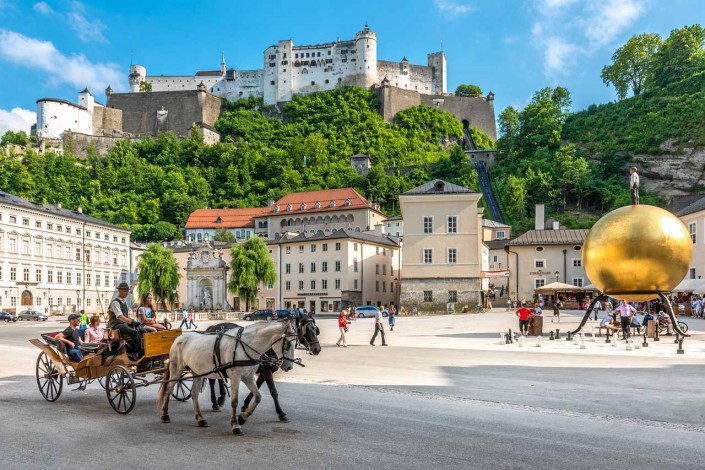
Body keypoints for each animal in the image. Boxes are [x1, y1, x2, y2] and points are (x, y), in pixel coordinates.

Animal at [157, 318, 296, 436]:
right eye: (288, 344)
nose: (289, 367)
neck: (245, 345)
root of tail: (178, 338)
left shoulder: (248, 376)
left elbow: (258, 397)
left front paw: (242, 417)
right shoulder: (236, 377)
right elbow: (234, 401)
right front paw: (235, 425)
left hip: (197, 372)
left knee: (194, 393)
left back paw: (200, 418)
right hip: (176, 369)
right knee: (169, 389)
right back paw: (165, 415)